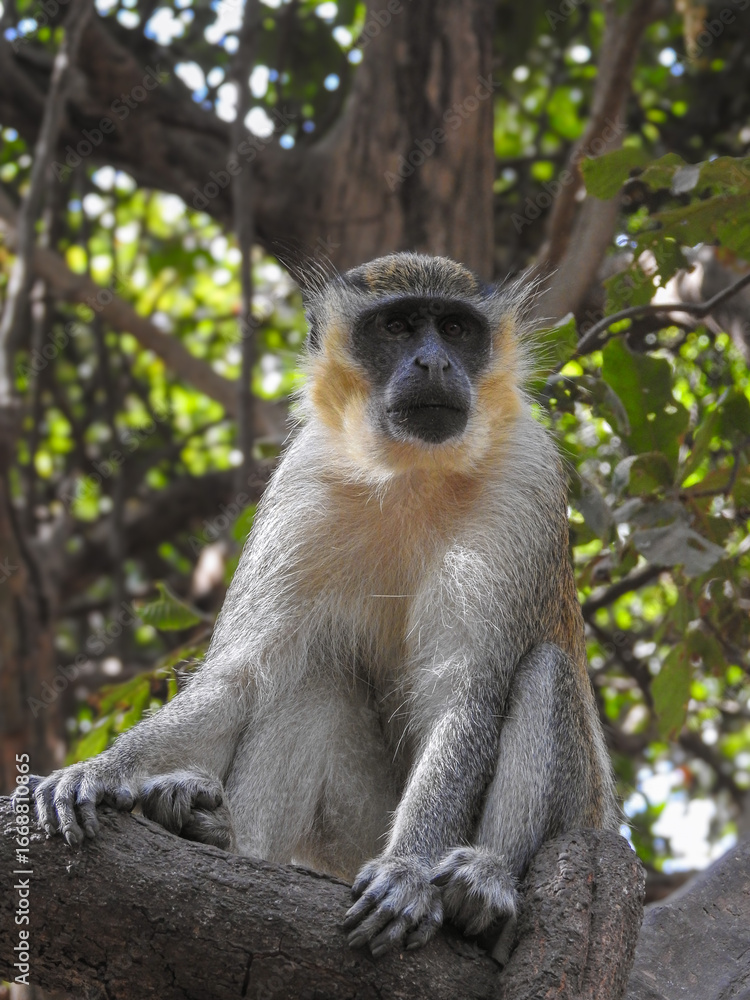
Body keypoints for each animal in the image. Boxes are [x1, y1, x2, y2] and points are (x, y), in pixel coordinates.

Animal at [29, 252, 618, 959]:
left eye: (455, 328)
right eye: (396, 327)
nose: (433, 363)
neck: (410, 471)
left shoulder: (525, 476)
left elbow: (467, 693)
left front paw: (407, 872)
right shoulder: (304, 481)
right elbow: (244, 674)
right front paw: (100, 769)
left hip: (583, 822)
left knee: (546, 671)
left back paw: (487, 884)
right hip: (348, 839)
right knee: (312, 679)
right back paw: (229, 839)